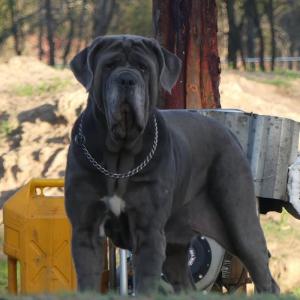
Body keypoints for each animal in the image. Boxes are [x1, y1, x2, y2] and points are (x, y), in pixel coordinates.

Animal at [65, 34, 278, 292]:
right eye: (109, 65)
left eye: (143, 67)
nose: (126, 79)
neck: (120, 155)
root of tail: (229, 132)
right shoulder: (85, 230)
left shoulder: (149, 233)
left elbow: (146, 285)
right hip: (175, 247)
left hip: (240, 222)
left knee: (263, 273)